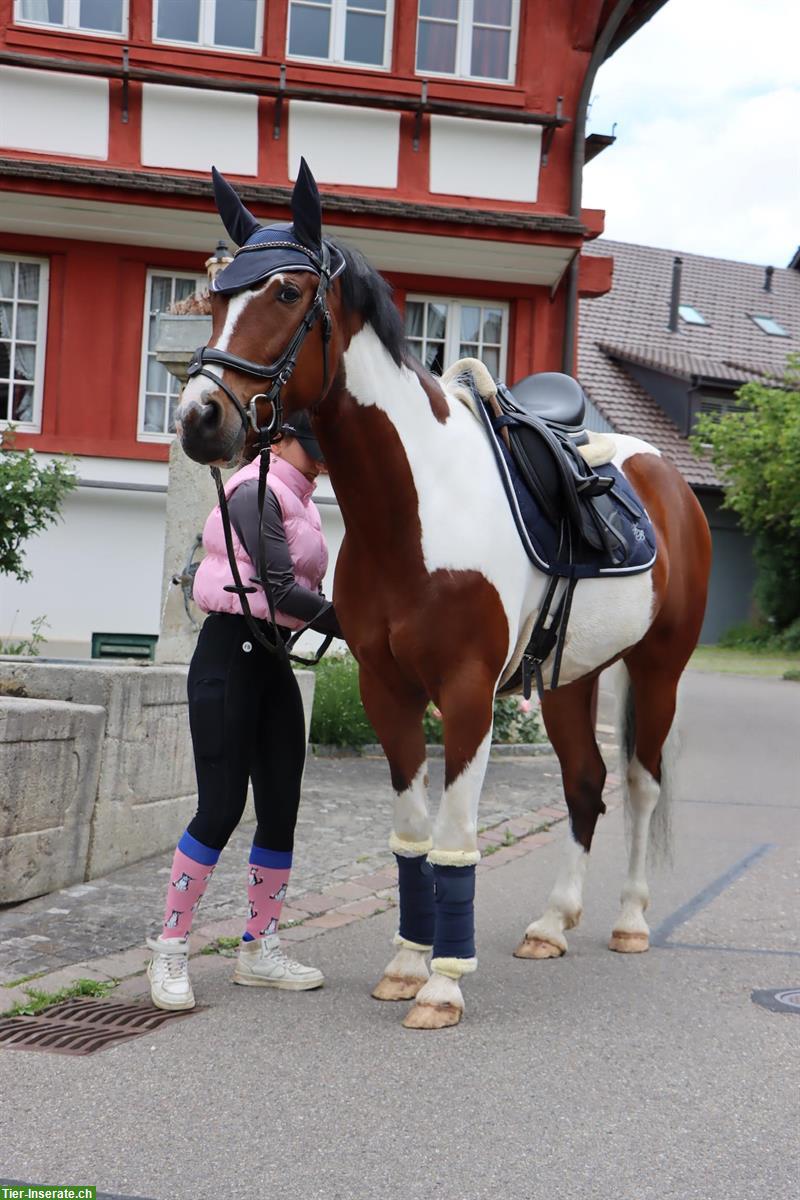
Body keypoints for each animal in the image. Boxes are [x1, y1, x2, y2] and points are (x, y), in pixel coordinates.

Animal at [176, 162, 714, 1032]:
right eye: (217, 295)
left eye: (287, 292)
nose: (200, 417)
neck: (416, 507)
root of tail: (663, 475)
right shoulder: (386, 691)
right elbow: (411, 835)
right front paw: (406, 964)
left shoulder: (465, 695)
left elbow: (456, 837)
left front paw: (442, 984)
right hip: (570, 678)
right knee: (585, 783)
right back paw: (552, 922)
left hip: (658, 669)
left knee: (640, 783)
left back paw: (630, 918)